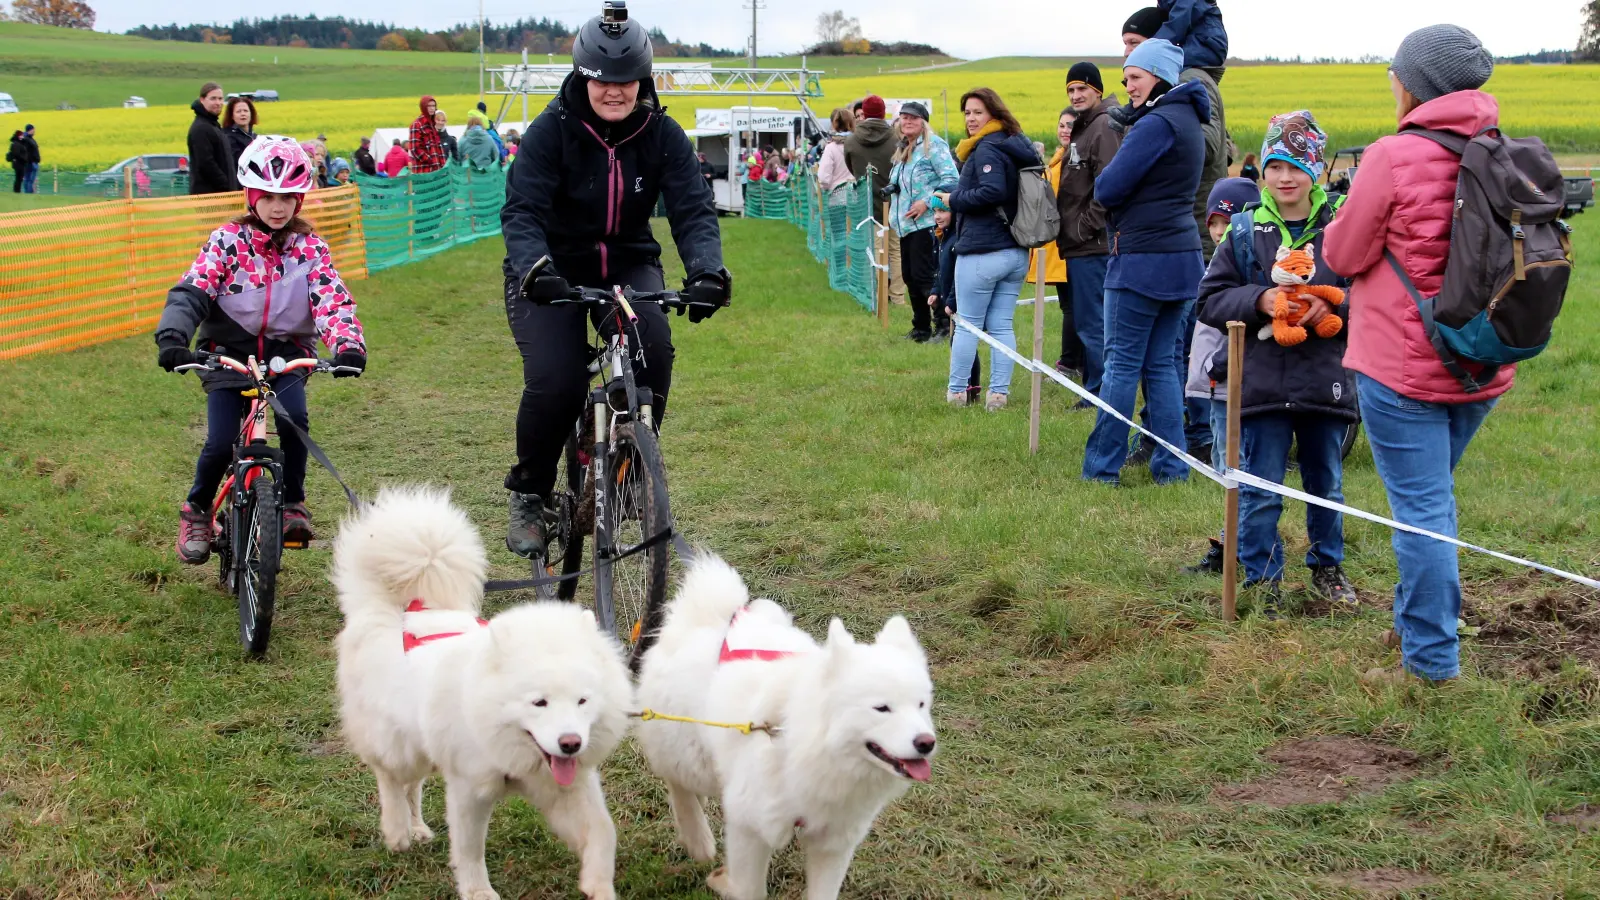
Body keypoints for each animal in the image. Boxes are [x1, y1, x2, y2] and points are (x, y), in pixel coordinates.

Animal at [331, 483, 630, 896]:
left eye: (583, 701)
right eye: (539, 703)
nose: (571, 743)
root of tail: (395, 606)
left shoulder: (566, 787)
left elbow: (604, 832)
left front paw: (598, 884)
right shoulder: (470, 789)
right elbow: (470, 850)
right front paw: (477, 891)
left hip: (422, 741)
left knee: (413, 786)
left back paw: (417, 827)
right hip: (398, 743)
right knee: (390, 778)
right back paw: (397, 831)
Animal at [633, 554, 934, 896]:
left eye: (921, 705)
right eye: (882, 708)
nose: (927, 742)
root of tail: (708, 618)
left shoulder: (833, 843)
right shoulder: (750, 825)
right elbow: (749, 890)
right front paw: (725, 880)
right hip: (692, 757)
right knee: (677, 782)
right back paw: (698, 838)